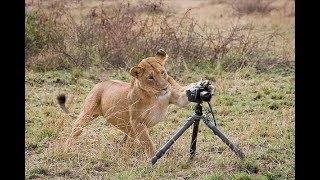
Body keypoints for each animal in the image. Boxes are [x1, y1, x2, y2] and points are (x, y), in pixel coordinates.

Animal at [58, 48, 212, 158]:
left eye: (162, 72)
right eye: (150, 77)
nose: (164, 88)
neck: (154, 97)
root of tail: (100, 83)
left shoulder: (176, 97)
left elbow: (184, 96)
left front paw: (205, 86)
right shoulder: (138, 122)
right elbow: (148, 143)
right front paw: (153, 160)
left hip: (129, 129)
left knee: (127, 141)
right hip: (87, 114)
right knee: (75, 131)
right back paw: (67, 149)